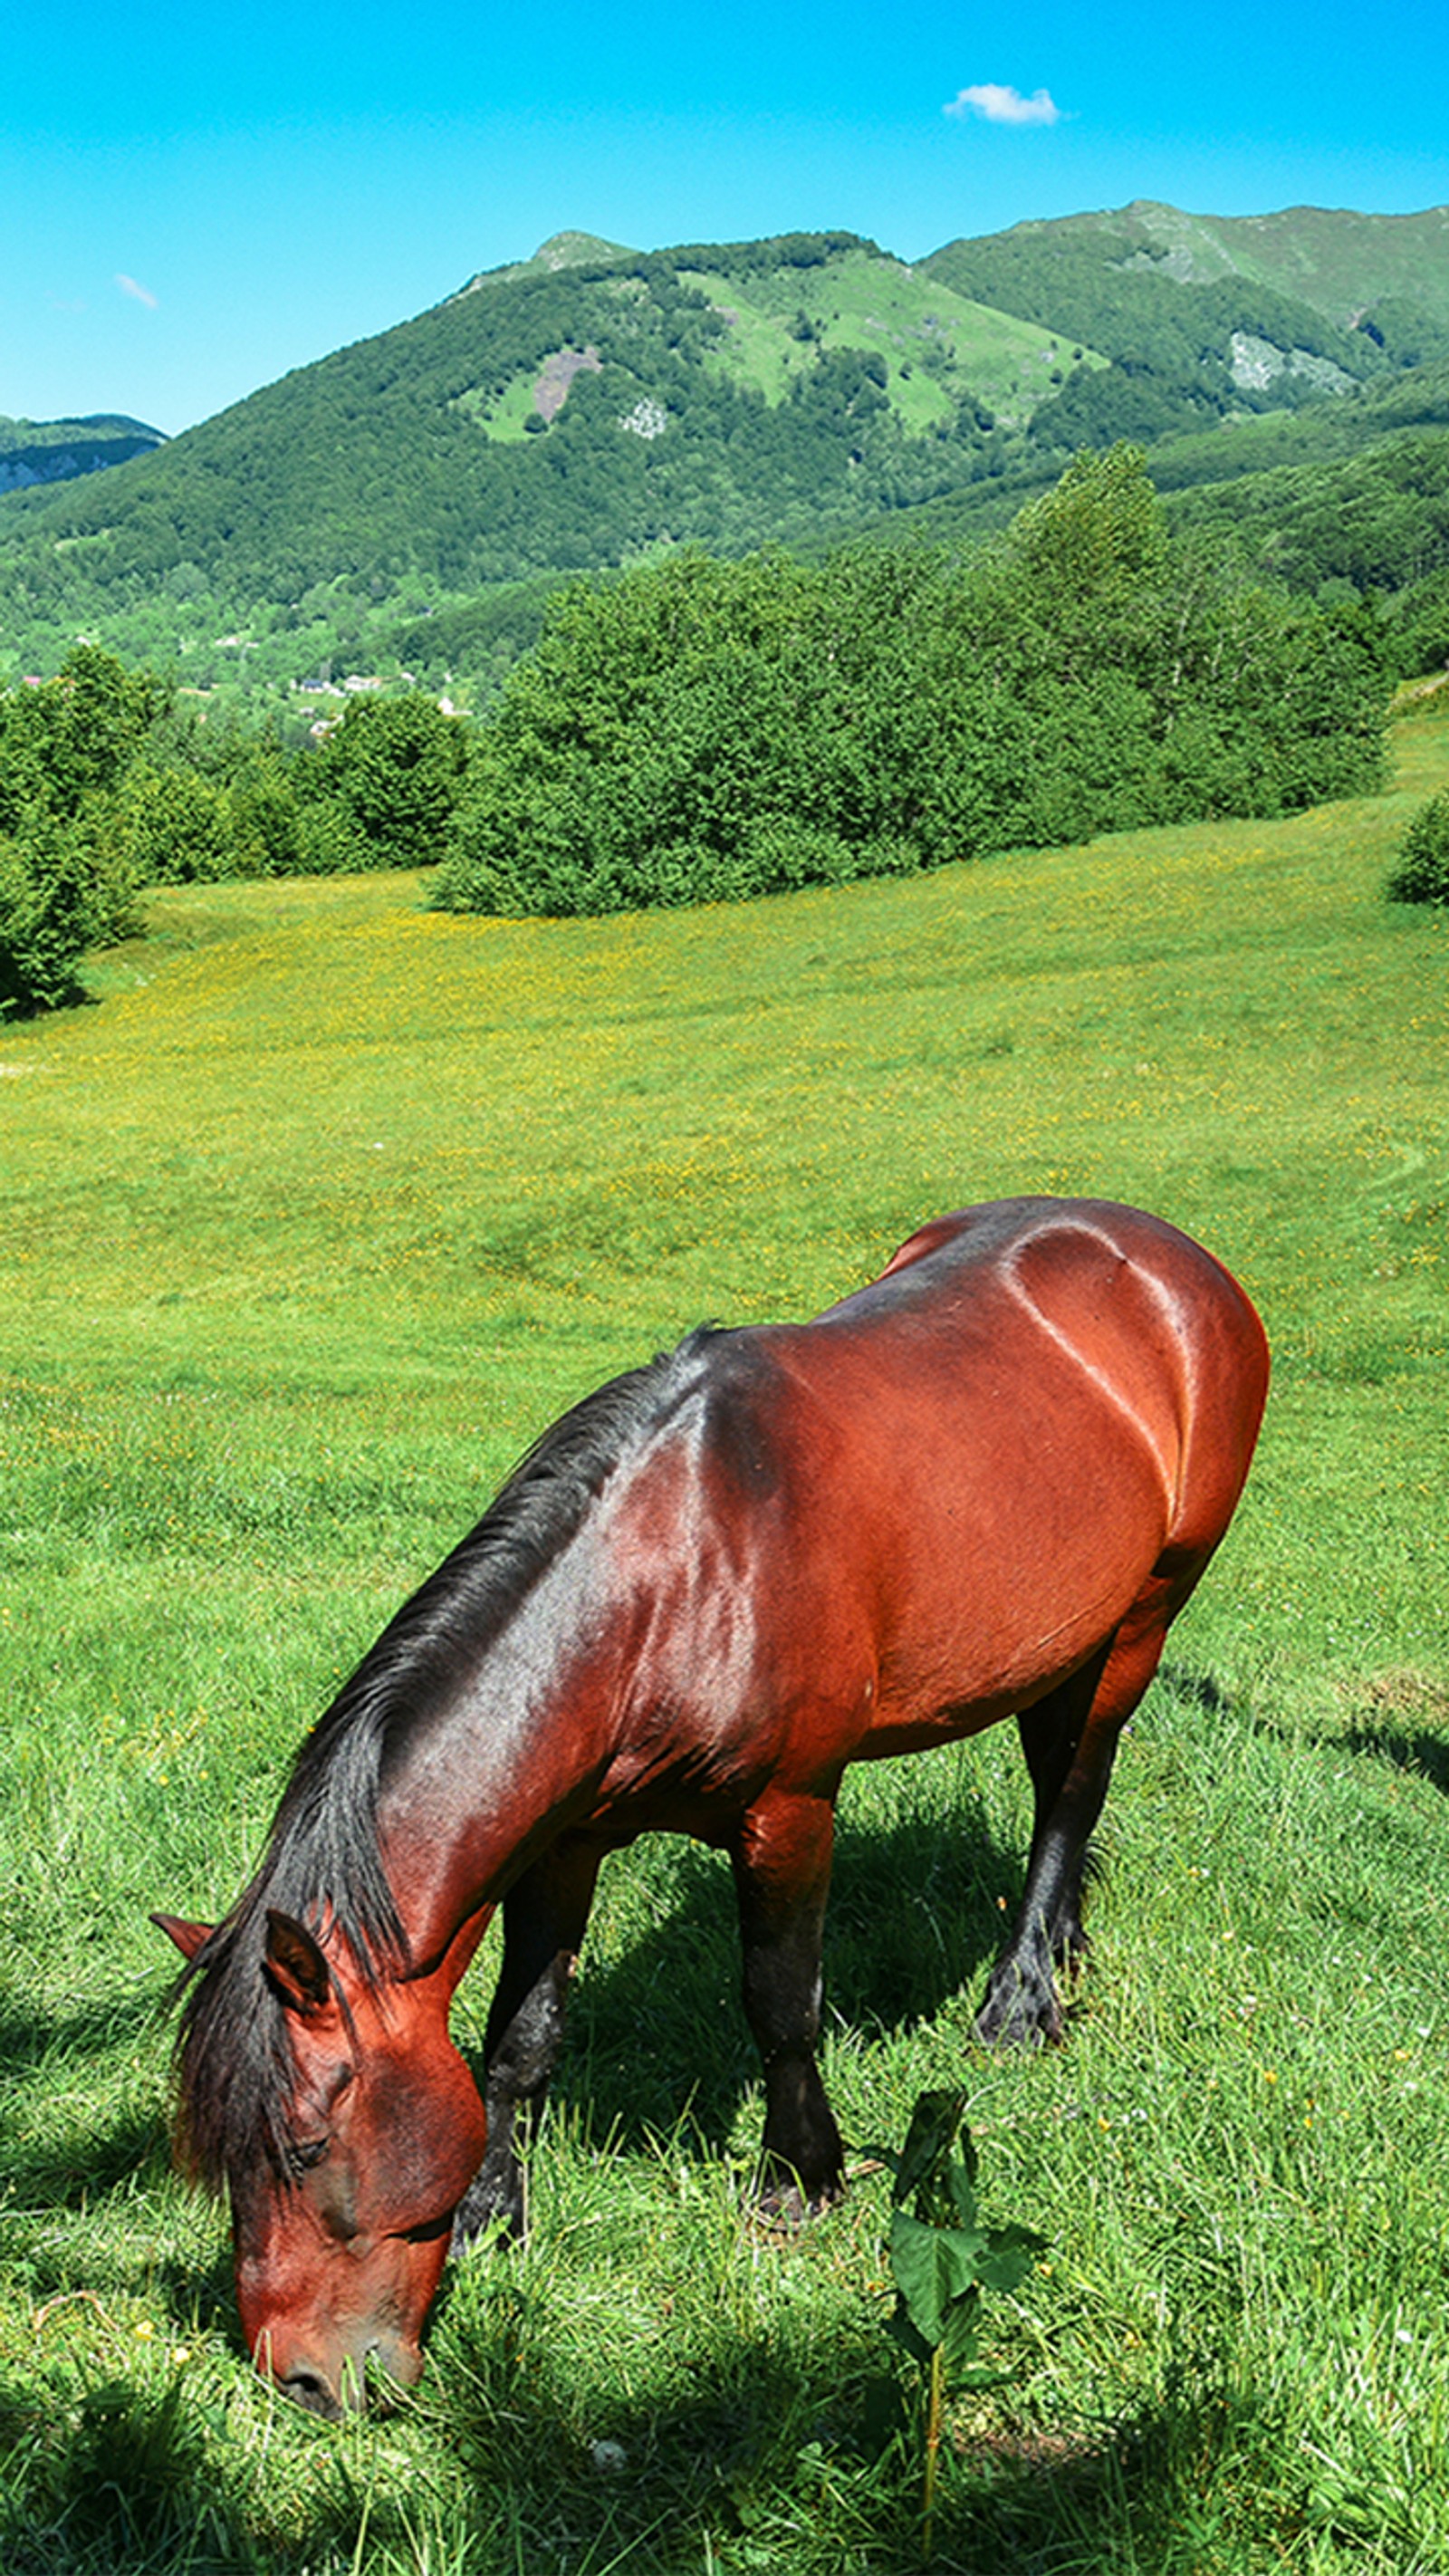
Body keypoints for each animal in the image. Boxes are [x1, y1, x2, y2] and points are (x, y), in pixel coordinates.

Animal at [158, 1205, 1266, 2410]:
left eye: (307, 2147)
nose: (302, 2380)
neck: (678, 1570)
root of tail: (1166, 1255)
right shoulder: (567, 1842)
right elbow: (520, 2036)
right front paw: (499, 2208)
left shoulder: (790, 1809)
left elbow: (780, 2001)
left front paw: (804, 2176)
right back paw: (1059, 1948)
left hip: (1148, 1610)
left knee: (1073, 1789)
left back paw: (1020, 2001)